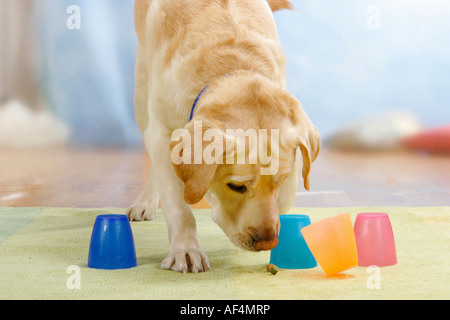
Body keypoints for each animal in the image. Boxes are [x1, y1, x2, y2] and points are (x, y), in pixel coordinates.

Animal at [126, 0, 320, 272]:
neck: (234, 66)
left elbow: (284, 199)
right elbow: (178, 205)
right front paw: (186, 249)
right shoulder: (161, 131)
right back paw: (145, 202)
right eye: (236, 187)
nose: (267, 242)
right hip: (141, 95)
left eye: (278, 182)